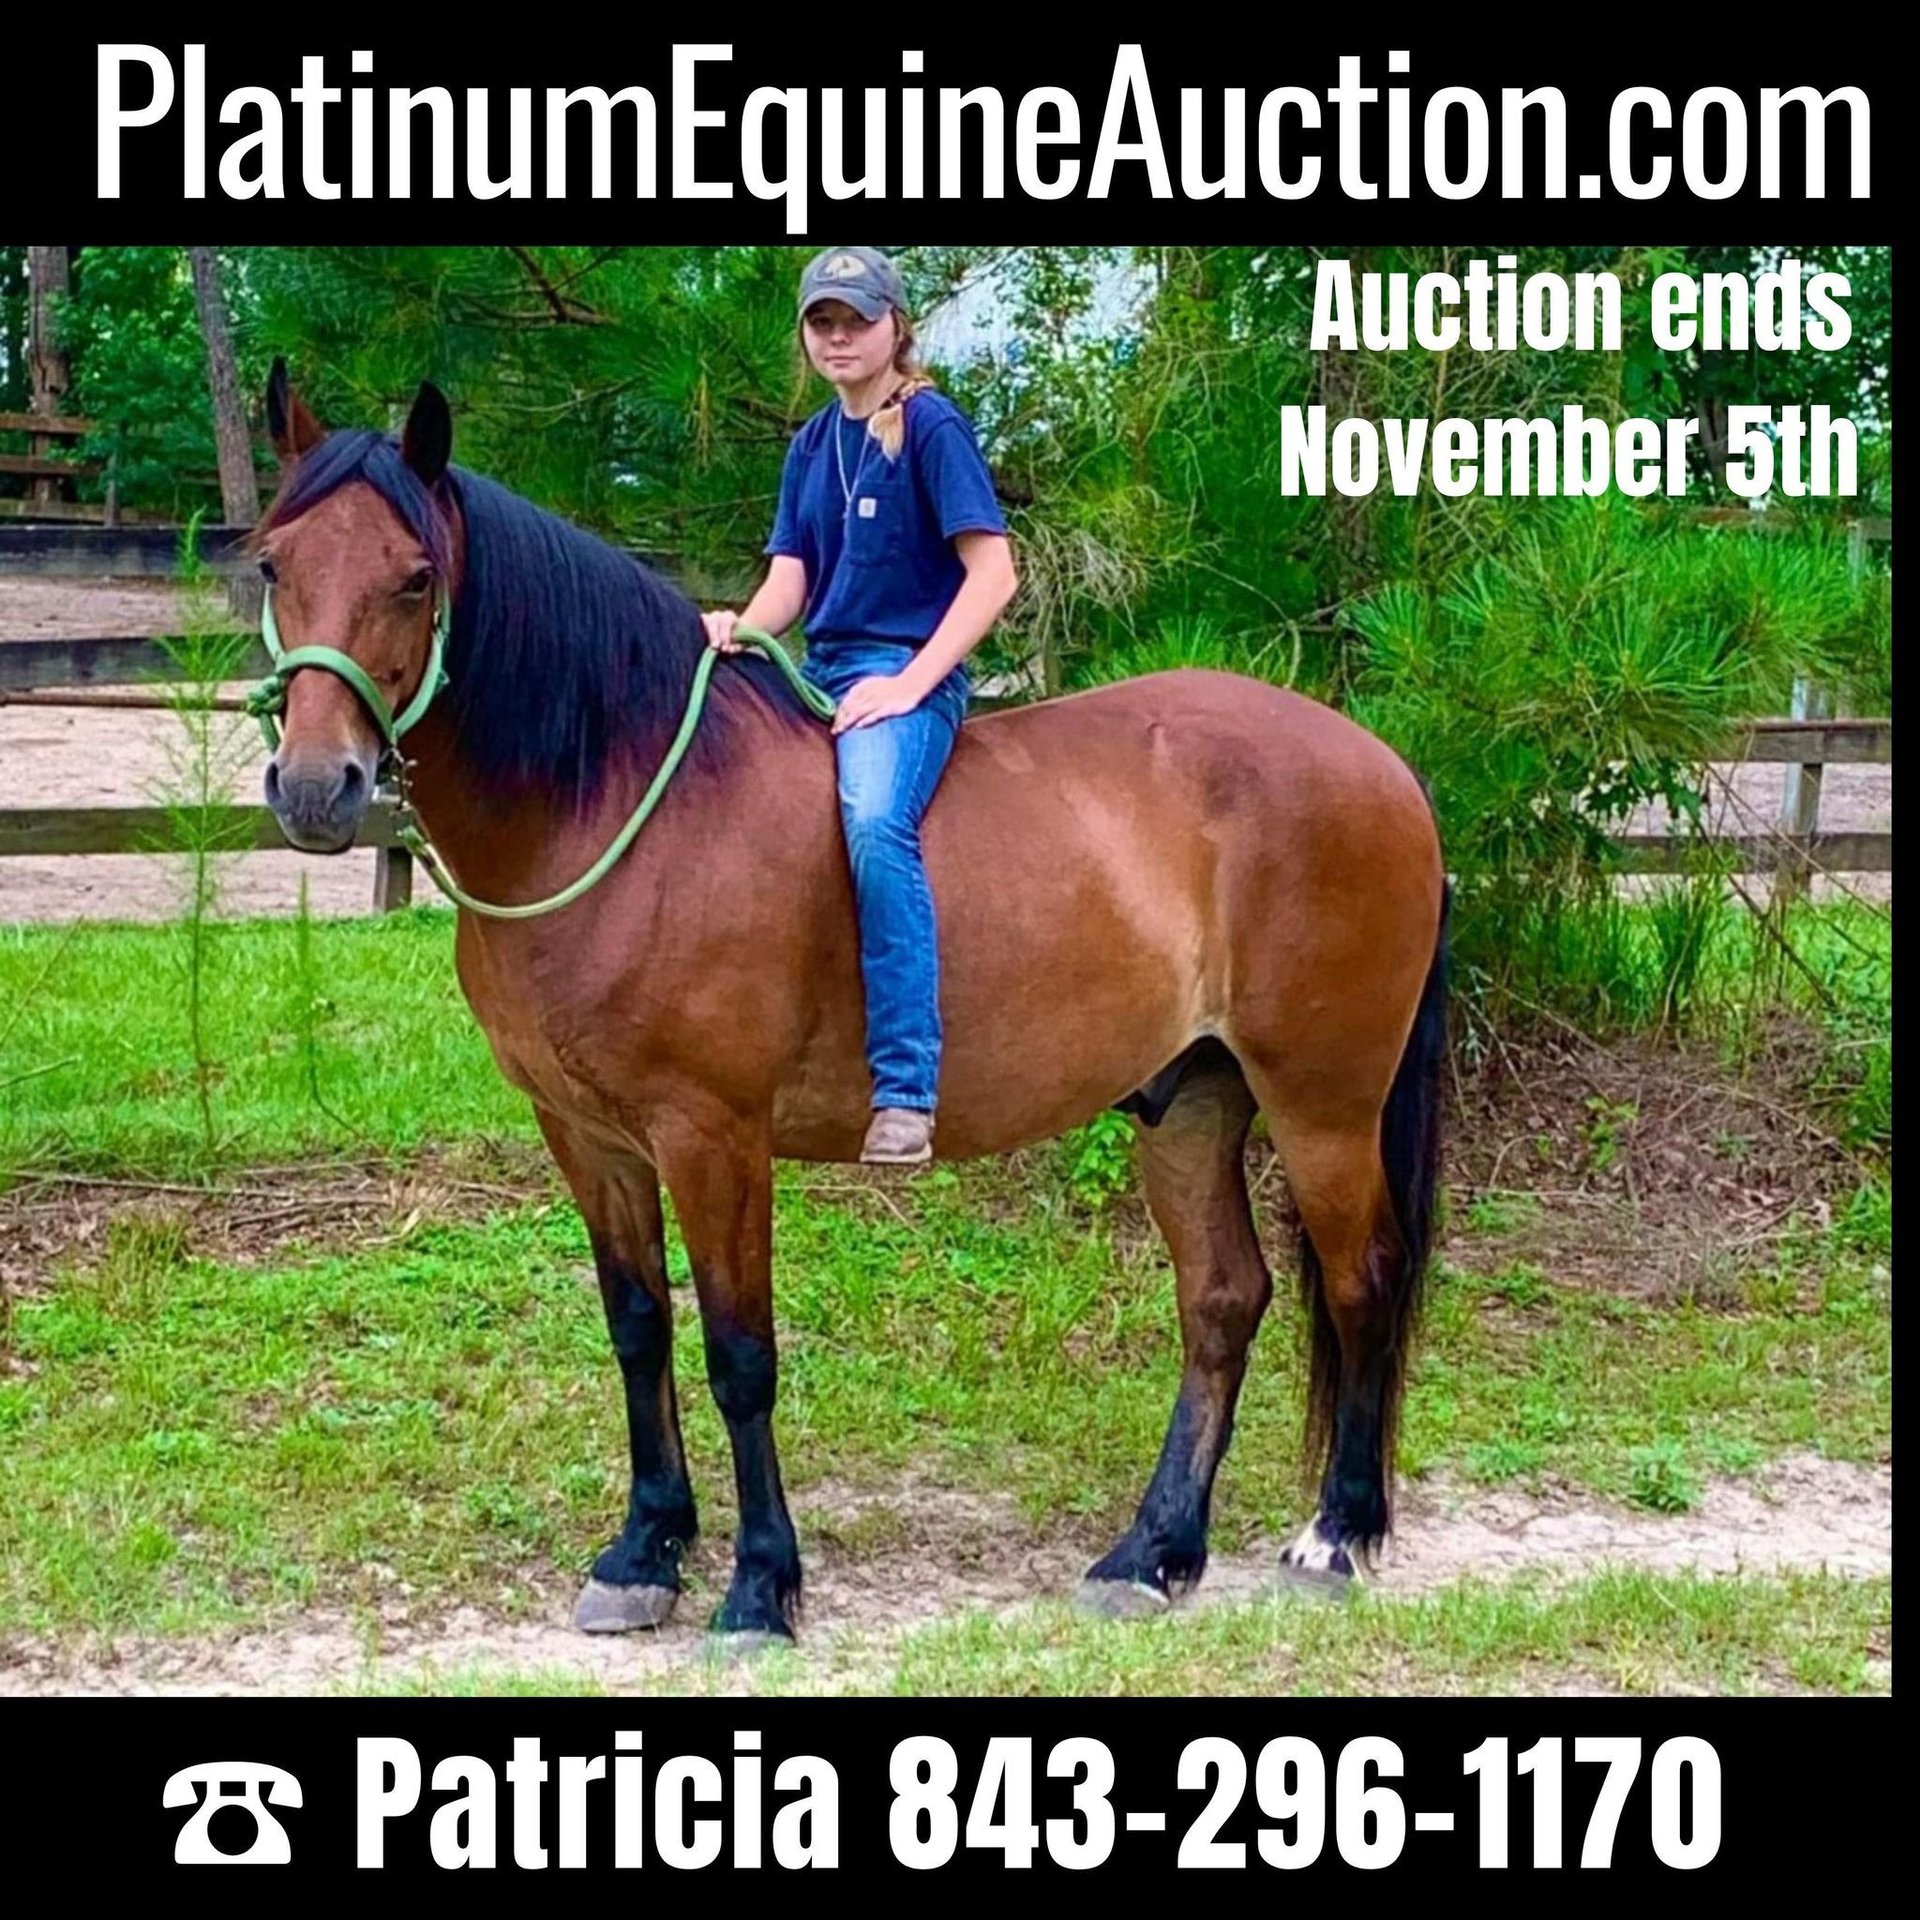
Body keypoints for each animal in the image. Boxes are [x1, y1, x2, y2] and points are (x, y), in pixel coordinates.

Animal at [254, 363, 1449, 1644]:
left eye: (415, 576)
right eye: (273, 562)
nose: (319, 788)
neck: (626, 808)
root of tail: (1384, 764)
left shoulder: (713, 1137)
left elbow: (739, 1354)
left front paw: (758, 1585)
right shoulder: (586, 1135)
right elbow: (638, 1329)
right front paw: (644, 1551)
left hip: (1324, 1106)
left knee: (1364, 1279)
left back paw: (1336, 1535)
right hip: (1191, 1104)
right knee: (1224, 1299)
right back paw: (1153, 1551)